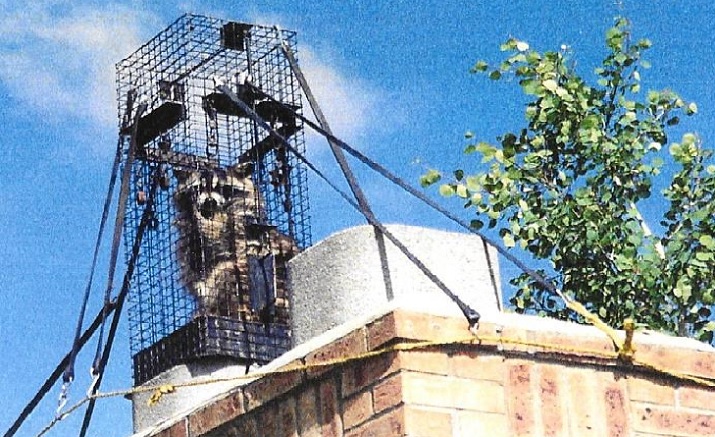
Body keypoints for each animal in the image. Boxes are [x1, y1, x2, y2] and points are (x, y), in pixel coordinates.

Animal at [173, 163, 298, 323]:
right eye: (198, 189)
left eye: (223, 188)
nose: (209, 202)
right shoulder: (188, 241)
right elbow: (197, 264)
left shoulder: (242, 224)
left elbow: (225, 244)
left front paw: (202, 220)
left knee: (227, 271)